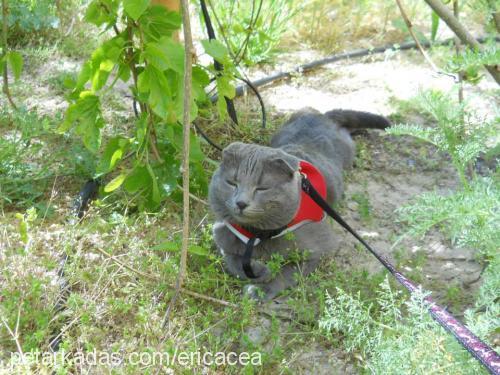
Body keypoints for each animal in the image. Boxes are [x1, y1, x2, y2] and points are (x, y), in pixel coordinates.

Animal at [209, 107, 388, 302]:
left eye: (262, 188)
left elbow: (288, 272)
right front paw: (260, 270)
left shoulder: (322, 248)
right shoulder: (223, 234)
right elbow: (232, 262)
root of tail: (321, 115)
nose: (241, 202)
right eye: (232, 183)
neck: (257, 234)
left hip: (346, 149)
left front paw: (261, 289)